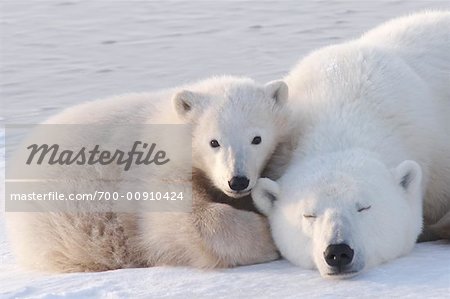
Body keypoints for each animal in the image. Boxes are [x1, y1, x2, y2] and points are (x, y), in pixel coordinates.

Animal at [7, 76, 296, 274]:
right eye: (214, 142)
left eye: (257, 138)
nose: (237, 181)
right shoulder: (156, 170)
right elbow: (175, 222)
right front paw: (267, 238)